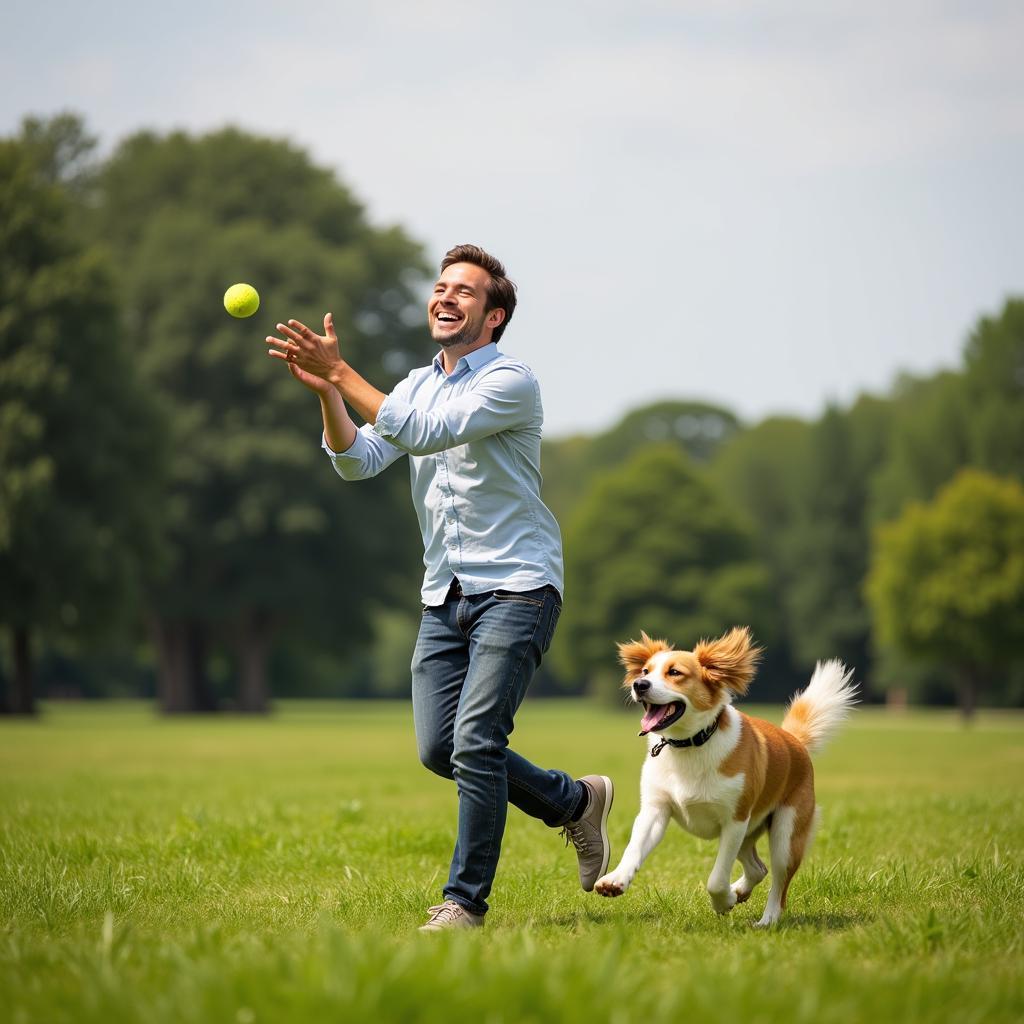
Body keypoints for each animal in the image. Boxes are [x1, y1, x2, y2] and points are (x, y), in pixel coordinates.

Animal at [593, 622, 856, 929]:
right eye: (645, 671)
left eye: (675, 672)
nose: (639, 685)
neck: (690, 744)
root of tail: (795, 741)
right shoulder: (655, 809)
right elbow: (634, 848)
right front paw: (614, 880)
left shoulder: (735, 821)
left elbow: (716, 879)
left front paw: (724, 901)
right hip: (751, 834)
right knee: (758, 868)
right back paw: (741, 890)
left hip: (785, 833)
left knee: (779, 882)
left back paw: (766, 920)